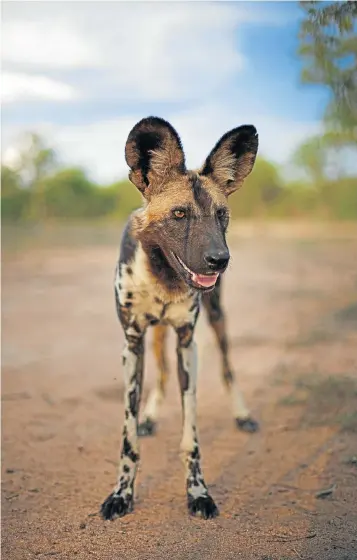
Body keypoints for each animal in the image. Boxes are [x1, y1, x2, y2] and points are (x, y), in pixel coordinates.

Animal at [101, 115, 258, 520]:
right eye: (179, 215)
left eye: (221, 215)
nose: (220, 260)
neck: (164, 277)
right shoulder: (132, 345)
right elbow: (128, 440)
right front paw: (122, 493)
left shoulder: (188, 343)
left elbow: (191, 439)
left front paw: (198, 492)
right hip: (155, 336)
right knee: (161, 373)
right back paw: (151, 416)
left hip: (217, 321)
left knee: (228, 368)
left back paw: (243, 414)